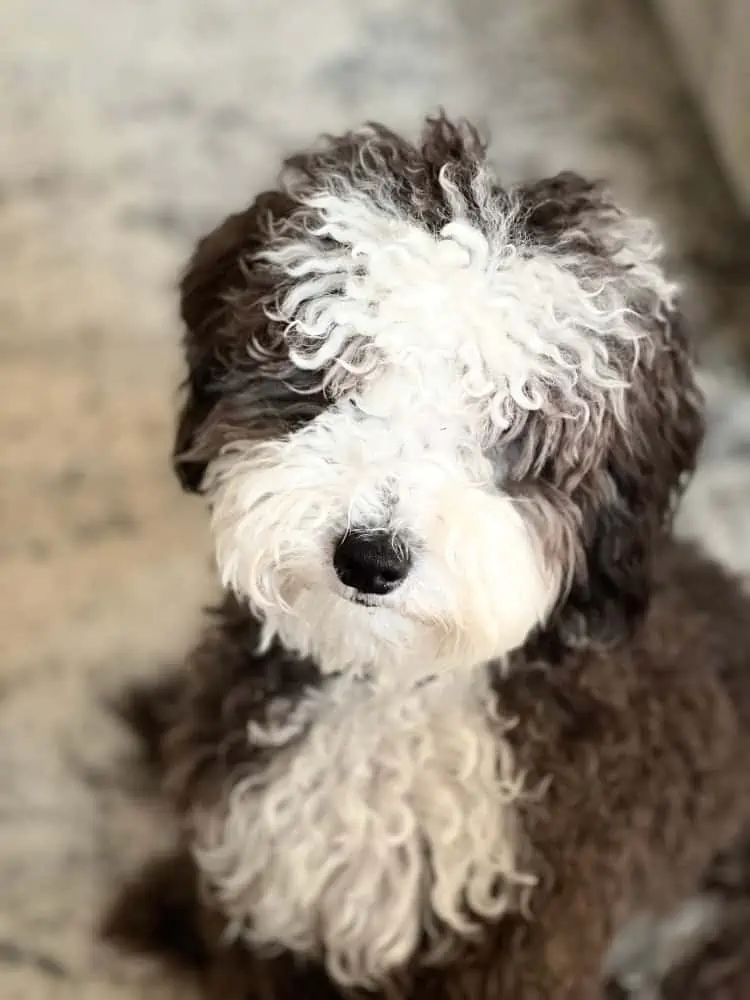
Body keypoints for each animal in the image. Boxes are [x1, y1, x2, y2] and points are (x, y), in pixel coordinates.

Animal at [103, 113, 750, 996]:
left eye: (515, 428)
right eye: (325, 379)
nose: (370, 559)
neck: (389, 689)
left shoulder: (527, 937)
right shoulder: (261, 902)